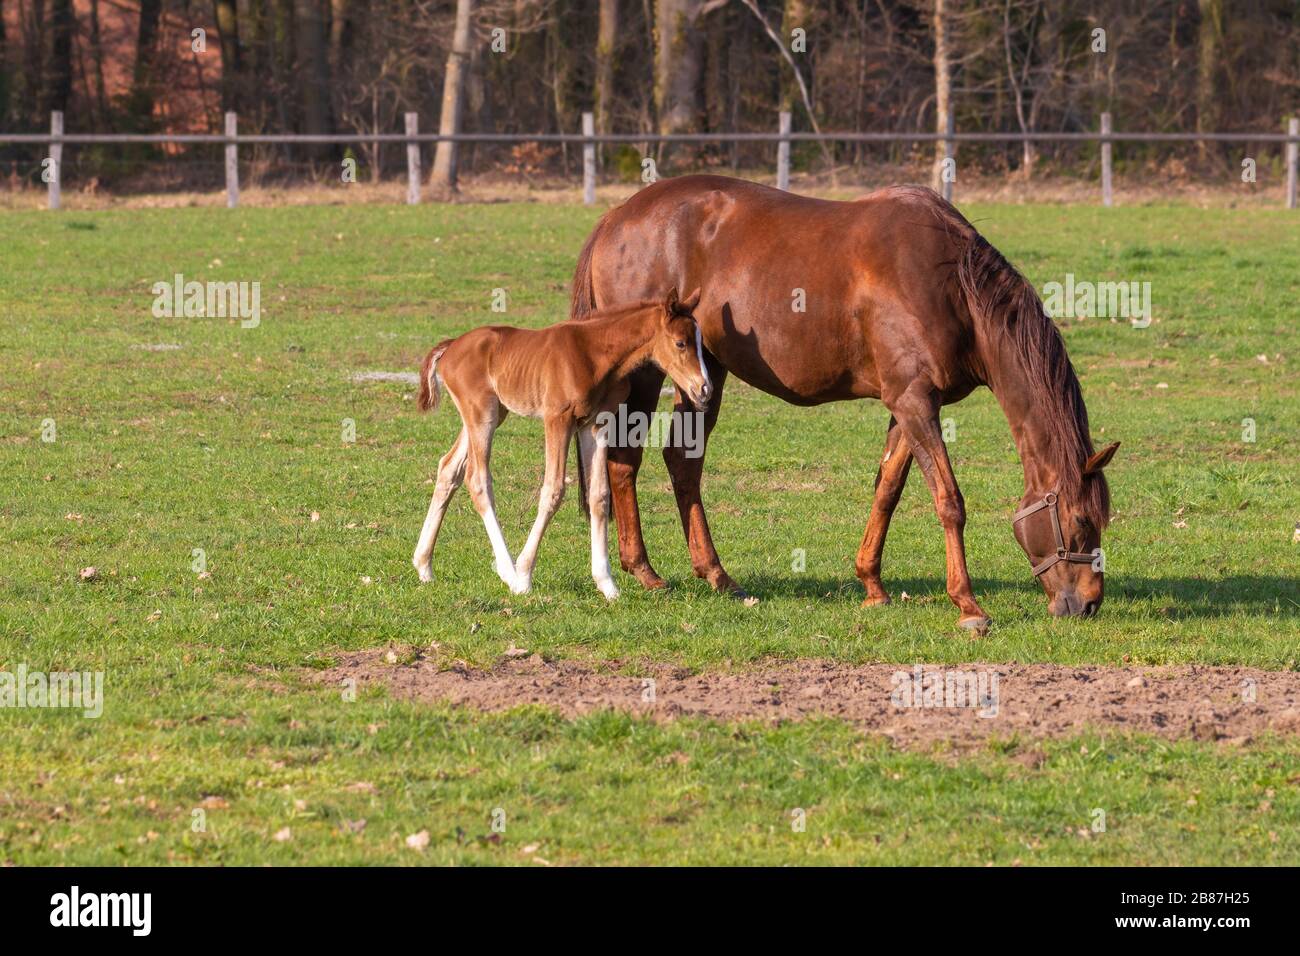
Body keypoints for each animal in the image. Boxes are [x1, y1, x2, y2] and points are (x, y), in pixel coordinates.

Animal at [412, 288, 711, 600]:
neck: (594, 354)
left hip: (491, 414)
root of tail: (451, 346)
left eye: (702, 343)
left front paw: (607, 583)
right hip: (482, 413)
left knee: (448, 468)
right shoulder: (557, 419)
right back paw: (508, 572)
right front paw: (524, 576)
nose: (704, 389)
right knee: (477, 479)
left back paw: (424, 565)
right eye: (680, 343)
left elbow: (599, 496)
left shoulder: (596, 424)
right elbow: (553, 490)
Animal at [570, 175, 1119, 631]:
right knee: (625, 459)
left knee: (683, 462)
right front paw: (967, 605)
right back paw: (644, 572)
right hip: (646, 375)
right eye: (1079, 523)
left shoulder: (908, 405)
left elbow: (887, 491)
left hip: (704, 376)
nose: (1089, 604)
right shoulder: (915, 402)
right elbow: (949, 501)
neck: (950, 284)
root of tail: (615, 219)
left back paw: (717, 575)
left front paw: (872, 585)